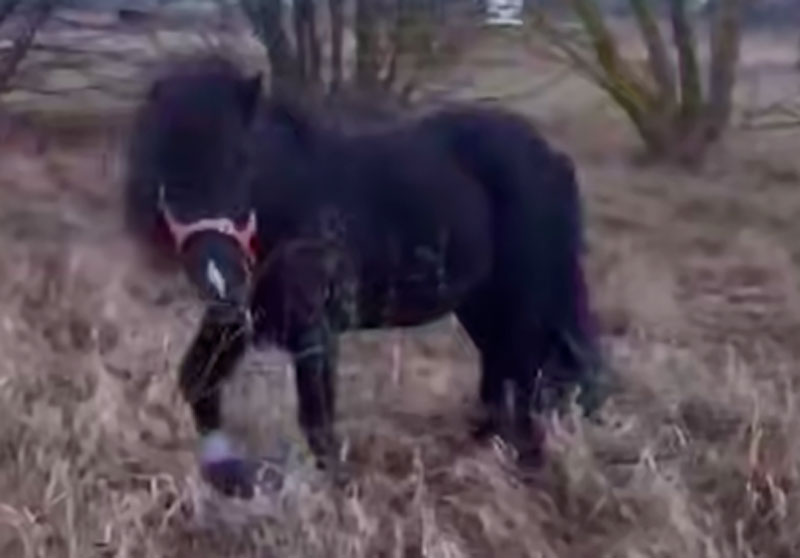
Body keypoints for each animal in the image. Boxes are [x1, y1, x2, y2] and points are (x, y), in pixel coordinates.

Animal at [123, 54, 608, 500]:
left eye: (241, 160)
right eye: (162, 165)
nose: (219, 279)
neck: (294, 206)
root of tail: (551, 156)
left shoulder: (314, 331)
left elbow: (317, 421)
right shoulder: (239, 319)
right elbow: (197, 379)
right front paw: (226, 472)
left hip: (524, 299)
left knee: (528, 378)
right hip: (481, 302)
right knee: (505, 371)